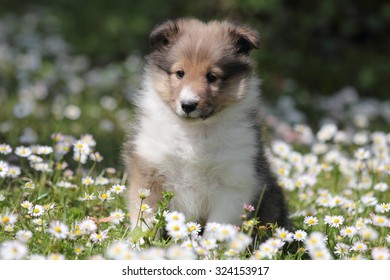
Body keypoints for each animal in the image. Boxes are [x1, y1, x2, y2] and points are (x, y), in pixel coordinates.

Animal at [125, 18, 290, 231]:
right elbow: (145, 219)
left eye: (212, 76)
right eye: (180, 73)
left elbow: (217, 228)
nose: (188, 105)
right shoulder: (149, 172)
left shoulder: (233, 183)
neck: (193, 131)